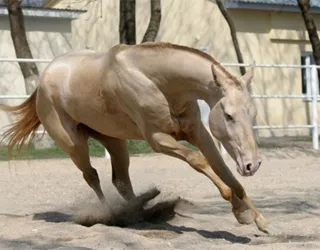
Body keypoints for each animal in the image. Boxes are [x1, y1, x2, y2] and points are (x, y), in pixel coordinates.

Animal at [0, 41, 276, 234]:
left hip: (115, 142)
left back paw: (141, 211)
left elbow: (226, 173)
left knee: (121, 181)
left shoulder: (199, 133)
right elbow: (198, 161)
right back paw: (112, 215)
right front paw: (237, 206)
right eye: (229, 115)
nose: (252, 165)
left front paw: (255, 219)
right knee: (92, 177)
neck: (158, 82)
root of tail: (44, 80)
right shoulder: (158, 139)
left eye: (253, 113)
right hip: (74, 145)